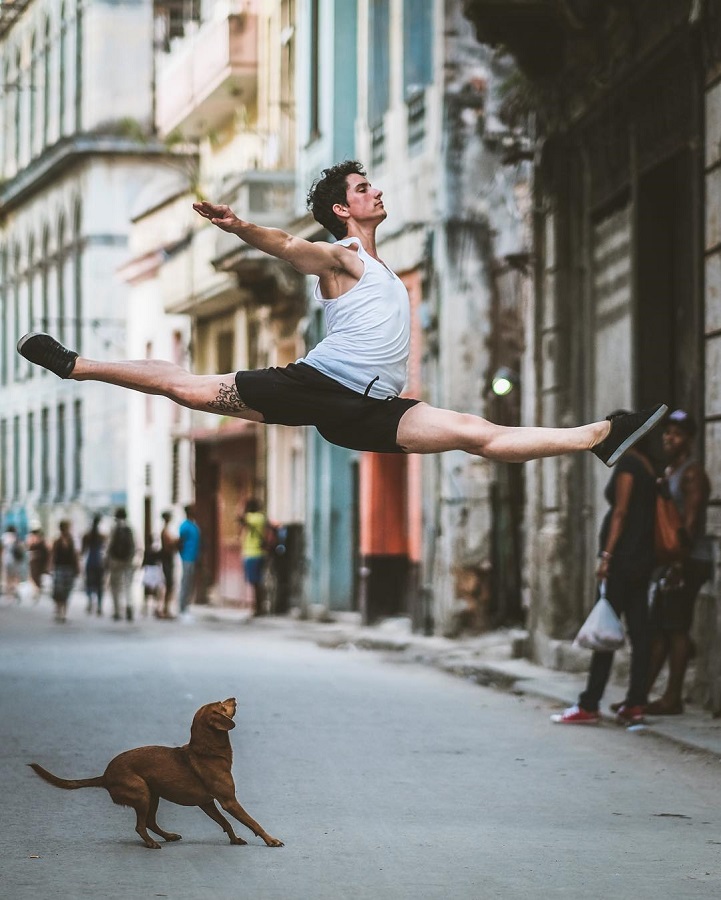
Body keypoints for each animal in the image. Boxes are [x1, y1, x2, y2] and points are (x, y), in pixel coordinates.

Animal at [31, 696, 284, 852]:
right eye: (222, 706)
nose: (233, 697)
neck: (207, 751)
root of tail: (105, 776)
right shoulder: (229, 801)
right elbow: (253, 822)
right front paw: (271, 840)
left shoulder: (208, 803)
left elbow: (225, 823)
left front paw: (234, 839)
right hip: (142, 793)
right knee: (140, 826)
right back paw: (152, 844)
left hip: (153, 795)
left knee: (150, 822)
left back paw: (168, 836)